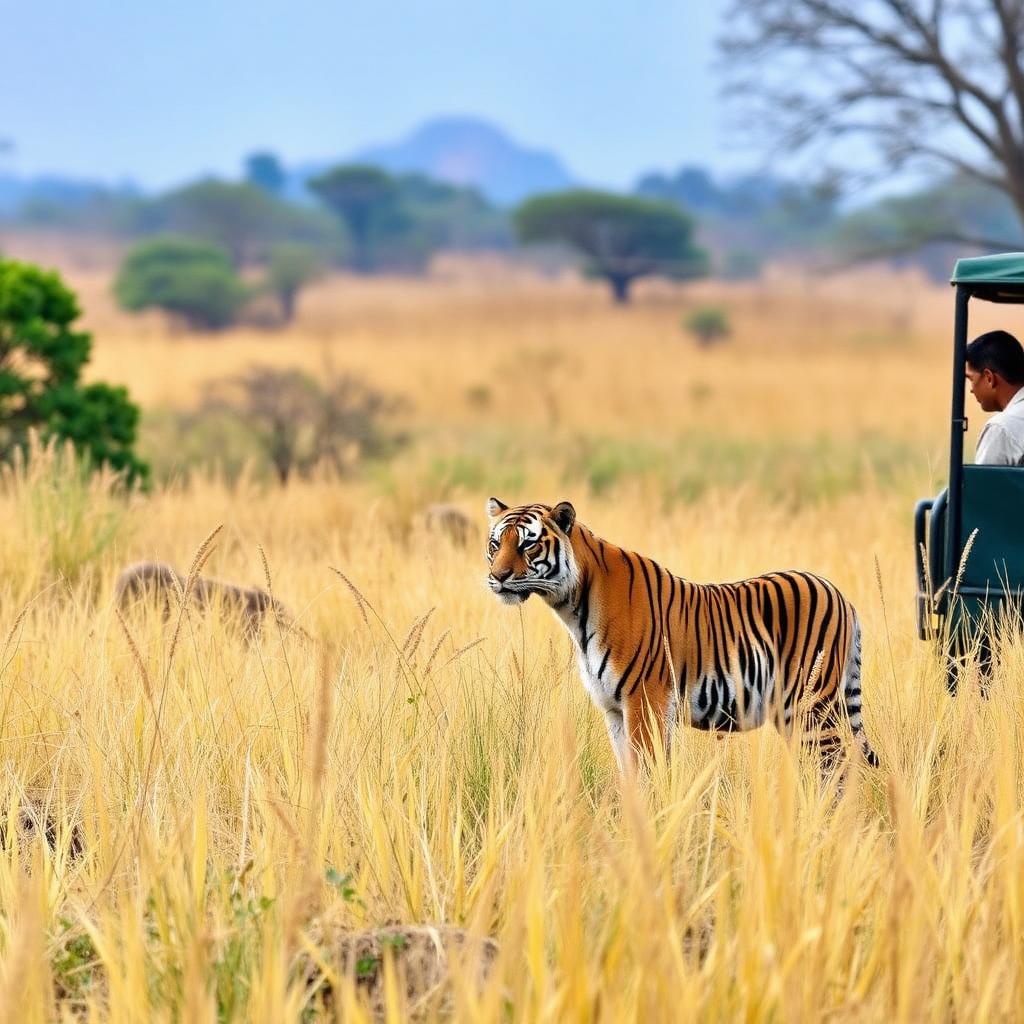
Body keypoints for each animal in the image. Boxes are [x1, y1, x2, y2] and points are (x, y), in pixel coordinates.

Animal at [485, 498, 878, 775]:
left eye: (528, 545)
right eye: (495, 545)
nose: (497, 577)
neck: (574, 608)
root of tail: (841, 595)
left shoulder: (644, 702)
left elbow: (647, 772)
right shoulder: (613, 709)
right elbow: (627, 775)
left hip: (812, 705)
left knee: (837, 768)